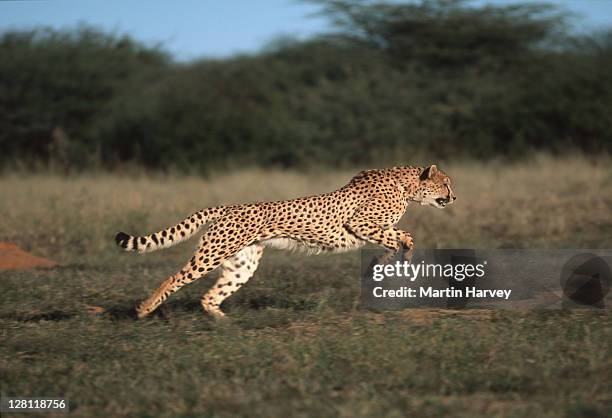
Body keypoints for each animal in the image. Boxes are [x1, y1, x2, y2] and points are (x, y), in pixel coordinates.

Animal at [113, 163, 454, 316]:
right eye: (446, 184)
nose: (454, 197)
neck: (405, 185)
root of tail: (229, 206)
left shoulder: (369, 227)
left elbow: (398, 238)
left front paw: (386, 262)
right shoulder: (360, 223)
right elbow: (403, 235)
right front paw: (395, 258)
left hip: (243, 263)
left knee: (210, 296)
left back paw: (225, 323)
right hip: (212, 253)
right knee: (174, 278)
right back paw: (144, 308)